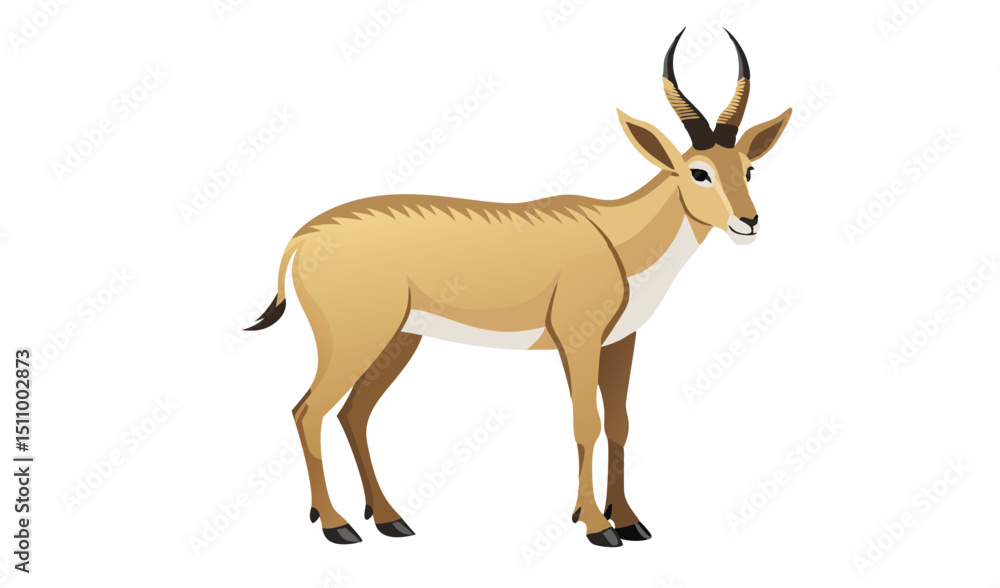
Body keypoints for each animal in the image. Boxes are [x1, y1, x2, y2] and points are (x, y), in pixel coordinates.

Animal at [247, 28, 791, 547]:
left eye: (748, 168)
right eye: (698, 171)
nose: (748, 222)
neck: (617, 236)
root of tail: (302, 236)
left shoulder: (621, 341)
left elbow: (619, 423)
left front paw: (631, 521)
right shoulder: (576, 340)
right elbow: (586, 423)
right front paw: (597, 527)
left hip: (399, 340)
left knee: (353, 414)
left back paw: (389, 520)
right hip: (354, 340)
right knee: (308, 411)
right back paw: (337, 525)